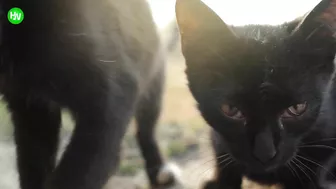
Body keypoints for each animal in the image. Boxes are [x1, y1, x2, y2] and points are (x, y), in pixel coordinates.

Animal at [1, 0, 180, 189]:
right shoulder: (28, 106)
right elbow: (33, 164)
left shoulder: (112, 91)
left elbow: (76, 173)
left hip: (153, 78)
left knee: (145, 132)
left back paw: (158, 173)